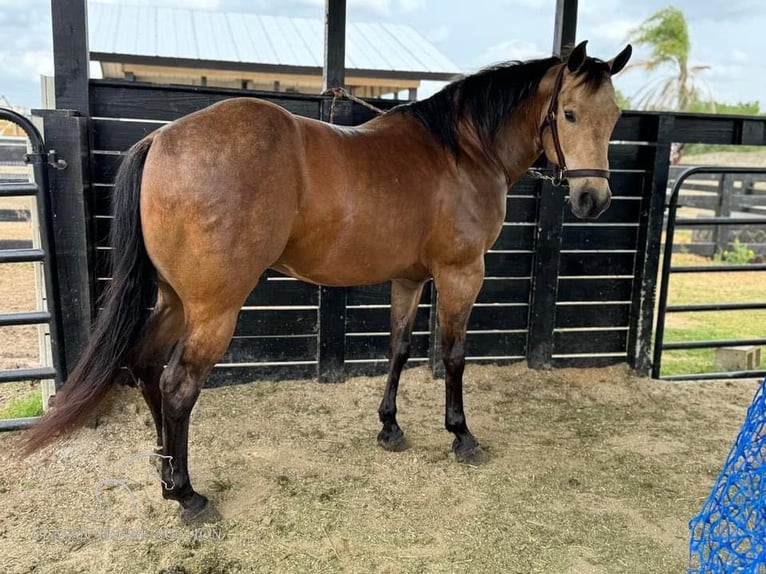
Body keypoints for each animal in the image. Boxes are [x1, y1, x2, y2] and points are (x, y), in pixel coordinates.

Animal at [25, 41, 636, 528]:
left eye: (614, 117)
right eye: (569, 113)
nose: (593, 200)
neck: (461, 150)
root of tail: (161, 139)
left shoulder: (410, 278)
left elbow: (399, 348)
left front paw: (390, 427)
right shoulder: (461, 274)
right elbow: (454, 355)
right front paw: (461, 434)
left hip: (179, 301)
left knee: (148, 366)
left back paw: (163, 466)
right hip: (215, 308)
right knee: (178, 385)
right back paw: (187, 494)